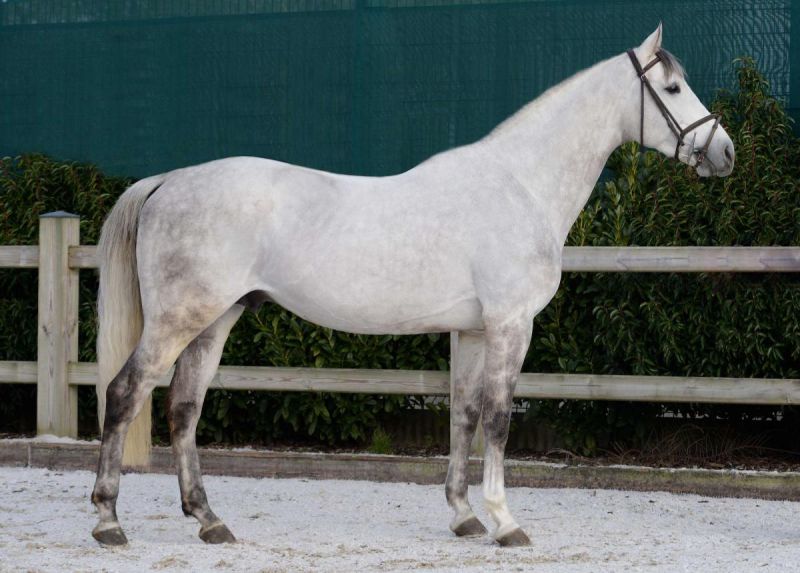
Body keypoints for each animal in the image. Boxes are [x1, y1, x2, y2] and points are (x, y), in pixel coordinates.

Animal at [91, 24, 735, 548]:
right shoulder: (511, 324)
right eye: (673, 89)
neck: (519, 184)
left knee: (183, 407)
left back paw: (209, 521)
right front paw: (506, 522)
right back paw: (108, 522)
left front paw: (464, 516)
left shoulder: (472, 331)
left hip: (215, 320)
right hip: (178, 320)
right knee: (124, 393)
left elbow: (465, 415)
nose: (724, 151)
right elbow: (498, 418)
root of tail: (168, 180)